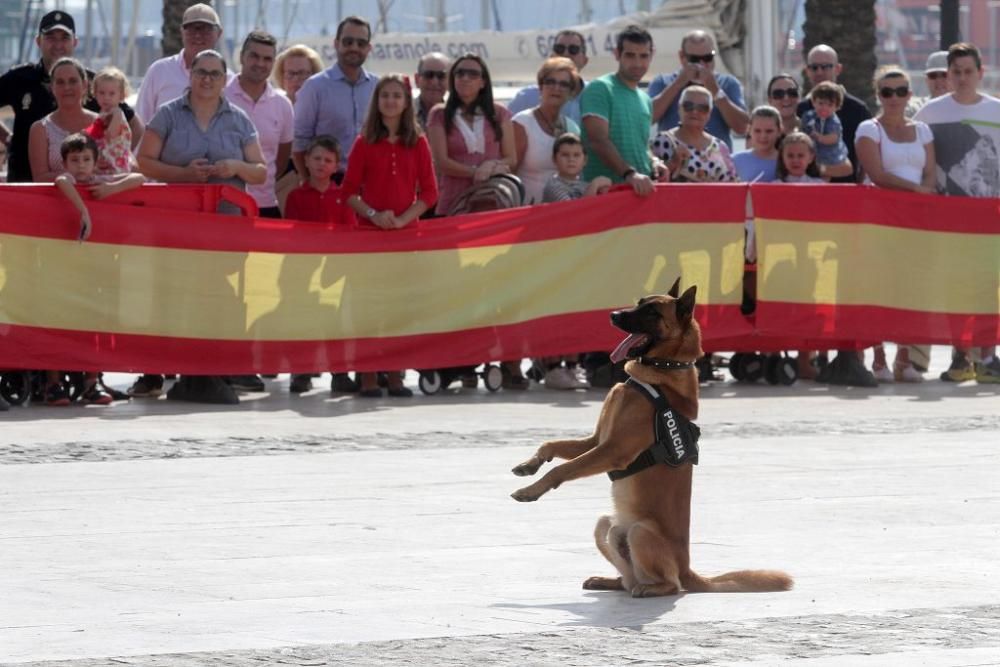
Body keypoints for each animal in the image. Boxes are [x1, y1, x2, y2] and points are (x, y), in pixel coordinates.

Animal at [512, 280, 792, 596]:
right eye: (639, 302)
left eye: (652, 312)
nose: (612, 315)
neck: (659, 374)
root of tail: (689, 570)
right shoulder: (597, 442)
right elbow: (552, 446)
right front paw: (529, 465)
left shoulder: (612, 451)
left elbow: (562, 469)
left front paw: (530, 491)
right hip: (605, 526)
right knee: (627, 578)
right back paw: (610, 581)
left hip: (640, 533)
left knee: (671, 585)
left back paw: (653, 589)